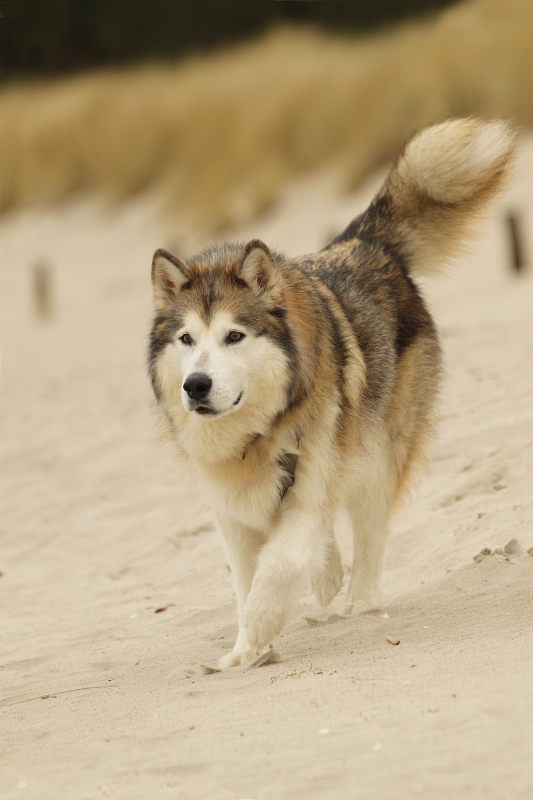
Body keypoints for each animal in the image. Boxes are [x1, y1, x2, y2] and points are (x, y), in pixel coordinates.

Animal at [148, 119, 512, 668]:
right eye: (187, 339)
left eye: (234, 336)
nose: (196, 386)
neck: (256, 436)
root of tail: (363, 244)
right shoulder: (233, 511)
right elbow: (247, 578)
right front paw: (245, 647)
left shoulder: (312, 481)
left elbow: (278, 564)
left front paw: (260, 628)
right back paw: (328, 580)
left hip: (377, 451)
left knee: (369, 529)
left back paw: (359, 599)